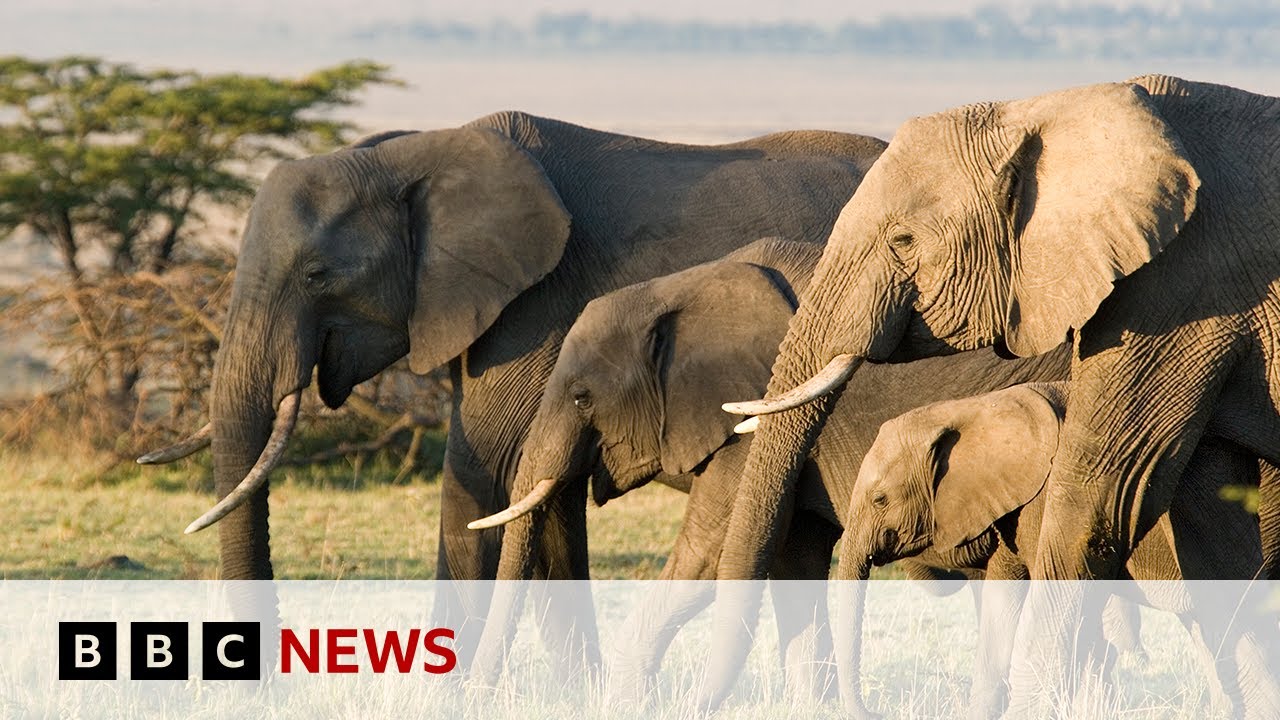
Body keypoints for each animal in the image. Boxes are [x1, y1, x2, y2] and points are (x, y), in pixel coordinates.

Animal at [137, 112, 889, 670]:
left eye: (318, 275)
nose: (268, 683)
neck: (414, 155)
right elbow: (537, 497)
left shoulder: (536, 307)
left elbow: (487, 474)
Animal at [464, 235, 1073, 695]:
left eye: (582, 398)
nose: (480, 694)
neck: (683, 286)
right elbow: (792, 561)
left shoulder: (749, 425)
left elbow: (709, 556)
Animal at [837, 381, 1280, 719]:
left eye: (879, 500)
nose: (879, 710)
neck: (975, 408)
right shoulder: (1012, 508)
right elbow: (1002, 610)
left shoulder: (1051, 498)